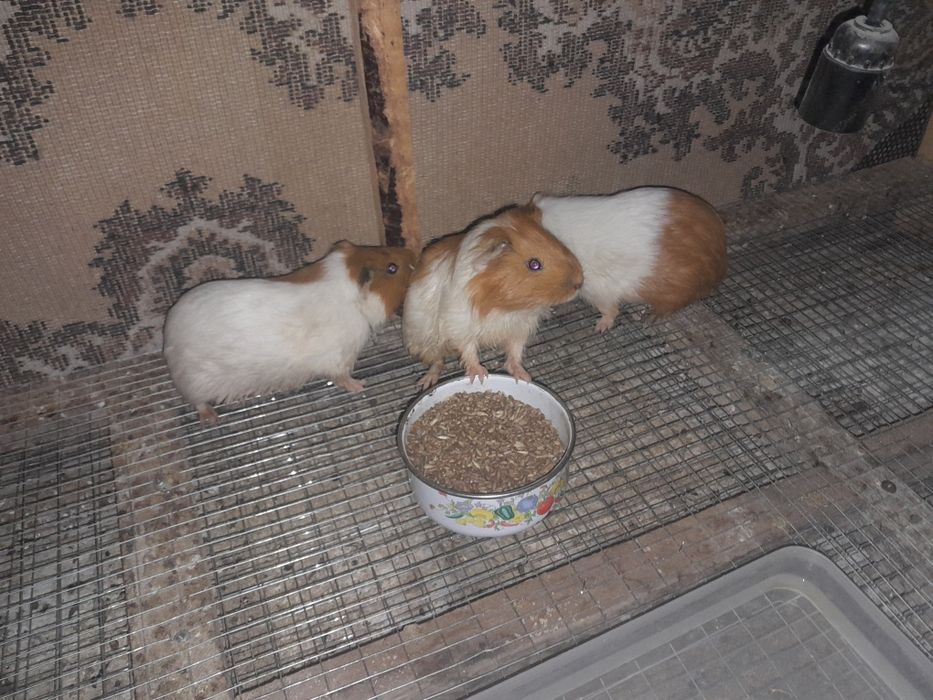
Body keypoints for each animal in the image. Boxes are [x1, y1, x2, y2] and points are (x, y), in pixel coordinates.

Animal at [163, 241, 415, 422]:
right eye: (392, 268)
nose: (411, 252)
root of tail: (168, 338)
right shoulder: (338, 360)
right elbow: (342, 377)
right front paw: (361, 385)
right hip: (195, 384)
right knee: (198, 403)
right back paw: (211, 418)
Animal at [403, 203, 583, 389]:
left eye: (558, 244)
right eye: (534, 264)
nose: (579, 282)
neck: (504, 307)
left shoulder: (520, 327)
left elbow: (515, 353)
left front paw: (525, 378)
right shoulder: (460, 326)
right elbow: (469, 351)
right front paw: (480, 376)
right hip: (423, 342)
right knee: (437, 362)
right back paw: (425, 383)